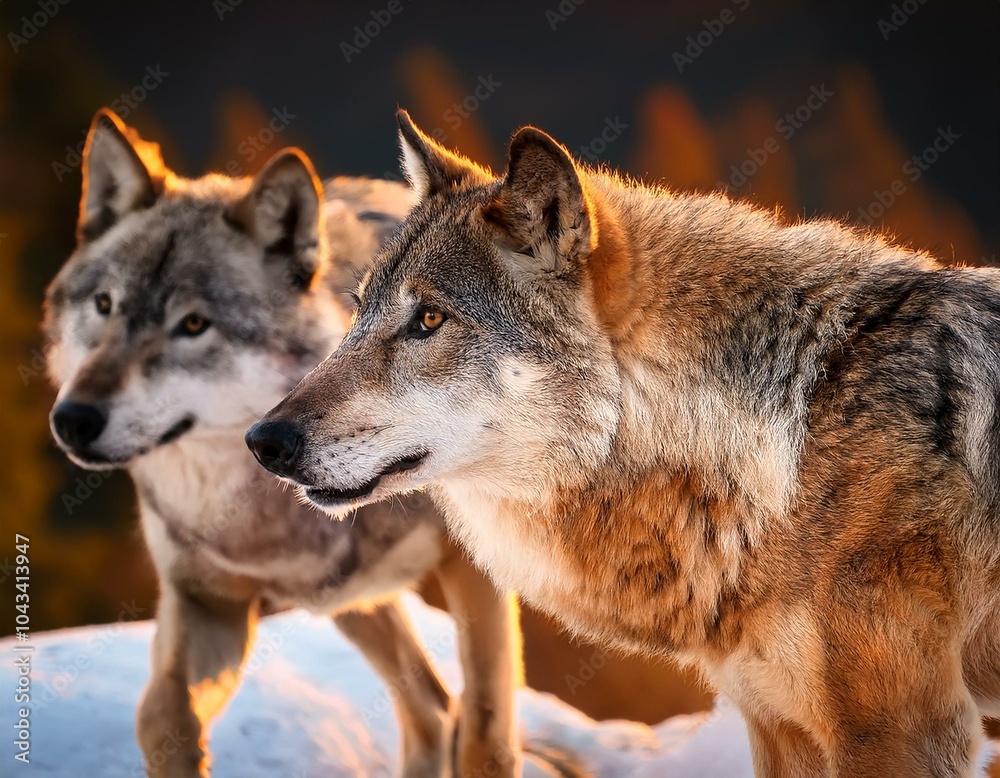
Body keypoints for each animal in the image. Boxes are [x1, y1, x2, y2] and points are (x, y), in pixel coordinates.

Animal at [45, 109, 522, 778]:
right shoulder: (205, 602)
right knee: (429, 706)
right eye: (104, 305)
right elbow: (160, 716)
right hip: (347, 604)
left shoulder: (476, 569)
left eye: (194, 324)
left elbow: (485, 729)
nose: (74, 419)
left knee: (442, 706)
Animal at [249, 109, 1000, 777]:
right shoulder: (777, 722)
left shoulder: (899, 731)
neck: (786, 445)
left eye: (429, 319)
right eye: (357, 309)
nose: (264, 440)